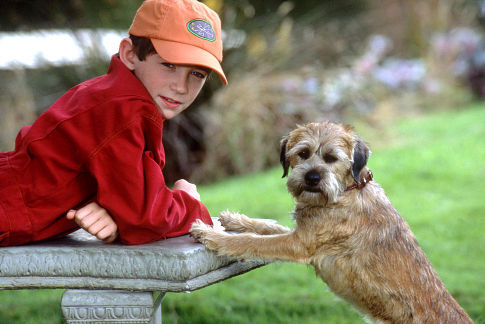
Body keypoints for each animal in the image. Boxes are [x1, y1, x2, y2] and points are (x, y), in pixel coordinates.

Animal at [190, 121, 472, 324]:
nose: (312, 177)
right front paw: (234, 219)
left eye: (331, 158)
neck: (349, 190)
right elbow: (266, 226)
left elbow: (251, 242)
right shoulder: (300, 233)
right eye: (303, 154)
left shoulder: (298, 244)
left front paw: (211, 235)